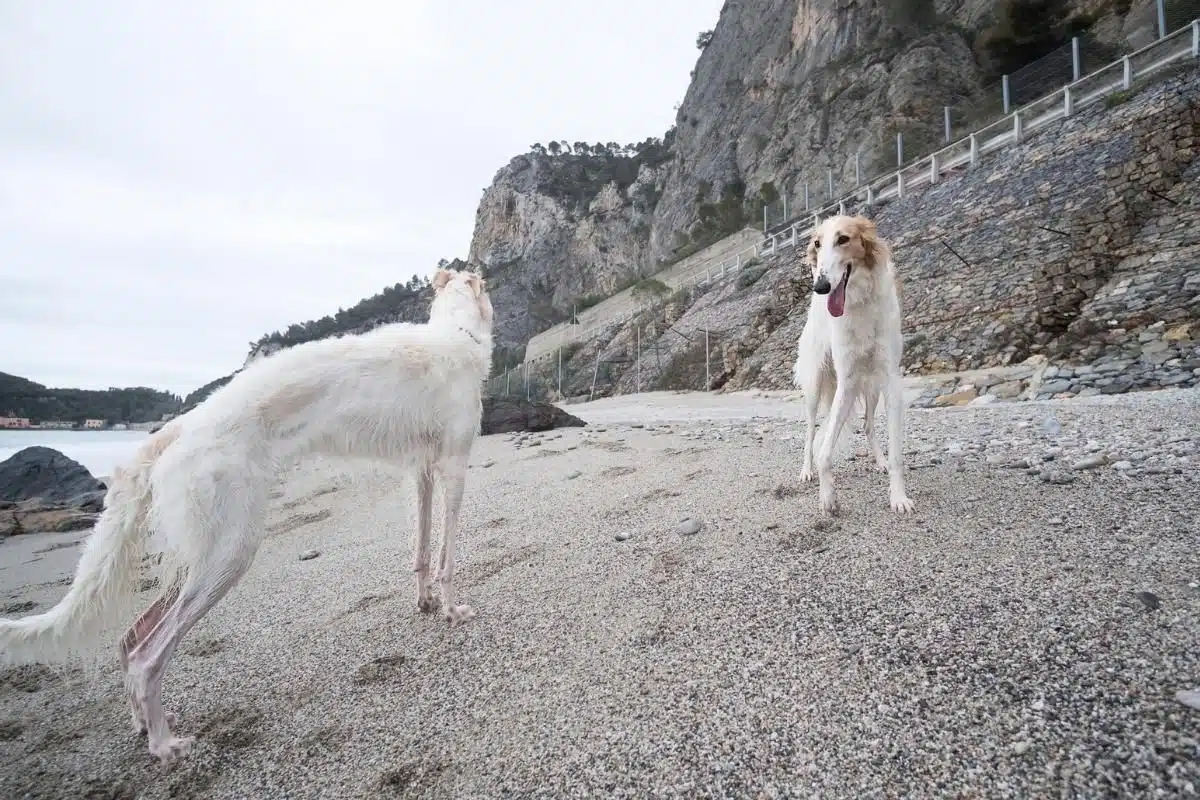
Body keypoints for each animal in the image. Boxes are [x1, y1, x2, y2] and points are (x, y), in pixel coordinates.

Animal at [0, 267, 494, 762]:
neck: (454, 333)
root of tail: (178, 427)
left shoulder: (422, 470)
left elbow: (423, 550)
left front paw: (425, 602)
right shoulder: (454, 466)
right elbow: (448, 557)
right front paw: (452, 610)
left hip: (208, 551)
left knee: (130, 638)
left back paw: (143, 723)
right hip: (231, 550)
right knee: (146, 656)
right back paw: (165, 743)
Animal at [792, 214, 912, 513]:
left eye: (843, 239)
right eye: (817, 244)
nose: (820, 287)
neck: (859, 302)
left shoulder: (890, 379)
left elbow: (896, 454)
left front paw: (898, 497)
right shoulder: (845, 382)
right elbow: (824, 451)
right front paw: (827, 496)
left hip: (871, 385)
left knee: (868, 425)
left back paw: (879, 461)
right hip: (815, 387)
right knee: (810, 433)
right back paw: (806, 471)